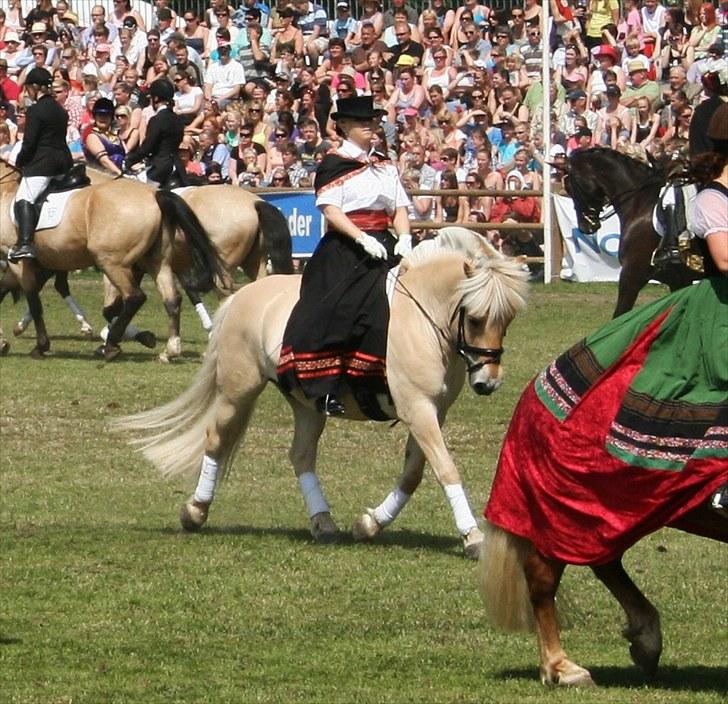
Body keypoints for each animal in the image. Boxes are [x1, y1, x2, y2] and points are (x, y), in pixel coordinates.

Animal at [0, 160, 223, 358]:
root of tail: (155, 194)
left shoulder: (19, 262)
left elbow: (34, 300)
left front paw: (40, 345)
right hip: (156, 261)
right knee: (172, 299)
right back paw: (170, 349)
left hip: (111, 262)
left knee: (135, 297)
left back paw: (112, 345)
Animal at [115, 228, 528, 560]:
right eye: (475, 317)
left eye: (507, 320)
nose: (488, 382)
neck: (422, 319)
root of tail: (242, 296)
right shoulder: (417, 408)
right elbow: (445, 468)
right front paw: (473, 537)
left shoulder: (433, 410)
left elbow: (413, 474)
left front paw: (369, 524)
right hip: (238, 389)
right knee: (217, 439)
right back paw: (195, 511)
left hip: (306, 404)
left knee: (300, 454)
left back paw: (323, 521)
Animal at [564, 150, 700, 318]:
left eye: (571, 187)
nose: (585, 226)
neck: (641, 203)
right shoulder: (679, 280)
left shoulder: (631, 275)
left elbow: (619, 316)